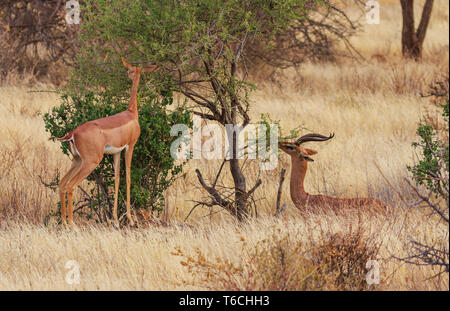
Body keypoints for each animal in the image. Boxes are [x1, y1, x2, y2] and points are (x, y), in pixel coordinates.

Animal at [57, 57, 158, 227]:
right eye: (129, 69)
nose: (128, 74)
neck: (131, 114)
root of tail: (73, 133)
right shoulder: (130, 146)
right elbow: (128, 178)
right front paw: (130, 219)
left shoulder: (116, 152)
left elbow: (117, 179)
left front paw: (116, 220)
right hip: (91, 162)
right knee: (71, 185)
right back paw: (72, 224)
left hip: (77, 160)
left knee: (62, 183)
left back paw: (64, 222)